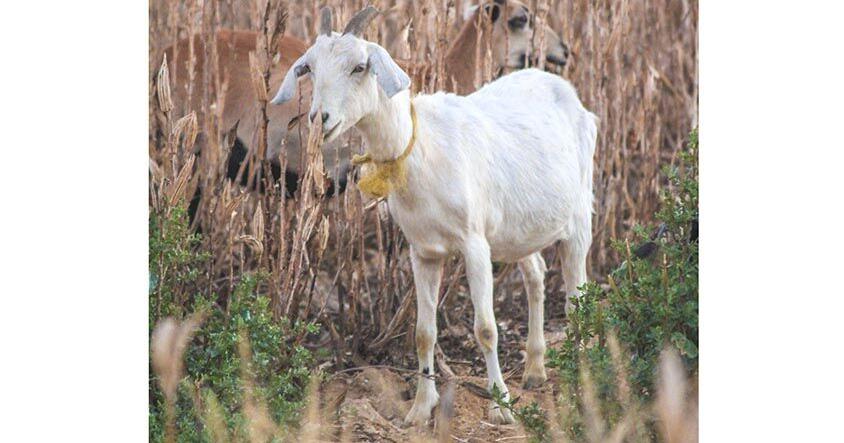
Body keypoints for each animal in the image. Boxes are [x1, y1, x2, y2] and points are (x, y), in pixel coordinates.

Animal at [271, 7, 597, 426]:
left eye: (360, 66)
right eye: (309, 67)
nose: (319, 118)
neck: (420, 147)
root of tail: (564, 89)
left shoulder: (475, 244)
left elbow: (486, 328)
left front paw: (500, 406)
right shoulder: (423, 251)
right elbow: (423, 331)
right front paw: (420, 408)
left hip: (579, 214)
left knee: (576, 295)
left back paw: (582, 372)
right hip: (520, 228)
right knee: (537, 275)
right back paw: (535, 370)